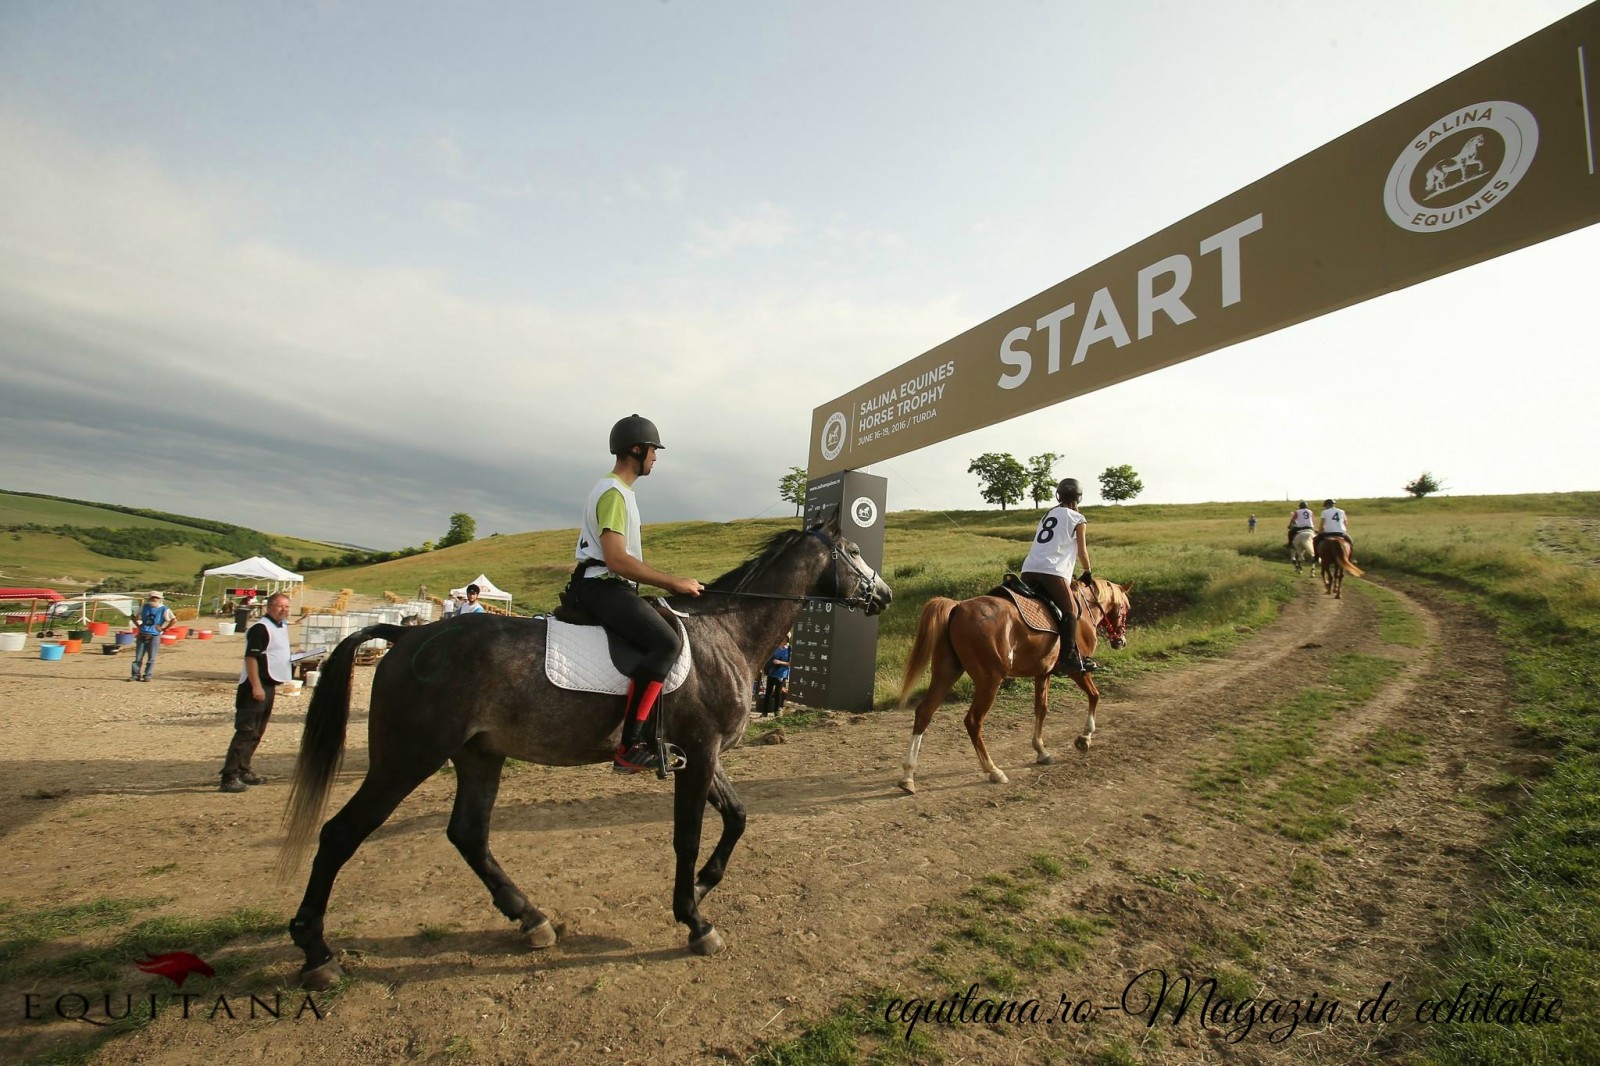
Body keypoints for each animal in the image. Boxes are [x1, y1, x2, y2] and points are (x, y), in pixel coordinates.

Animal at [275, 512, 889, 985]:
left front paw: (703, 886)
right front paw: (694, 919)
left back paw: (531, 919)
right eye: (856, 551)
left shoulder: (701, 755)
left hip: (479, 755)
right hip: (407, 758)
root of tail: (407, 636)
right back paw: (316, 953)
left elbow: (737, 816)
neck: (727, 633)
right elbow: (688, 838)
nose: (883, 594)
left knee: (468, 834)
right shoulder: (700, 753)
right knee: (340, 835)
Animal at [896, 576, 1132, 793]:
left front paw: (1041, 751)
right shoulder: (1077, 670)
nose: (1121, 641)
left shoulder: (1043, 674)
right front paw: (1085, 738)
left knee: (924, 713)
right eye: (1126, 607)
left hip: (947, 672)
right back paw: (993, 770)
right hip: (990, 680)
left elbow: (1041, 709)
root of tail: (958, 607)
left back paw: (908, 775)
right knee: (973, 721)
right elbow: (1095, 695)